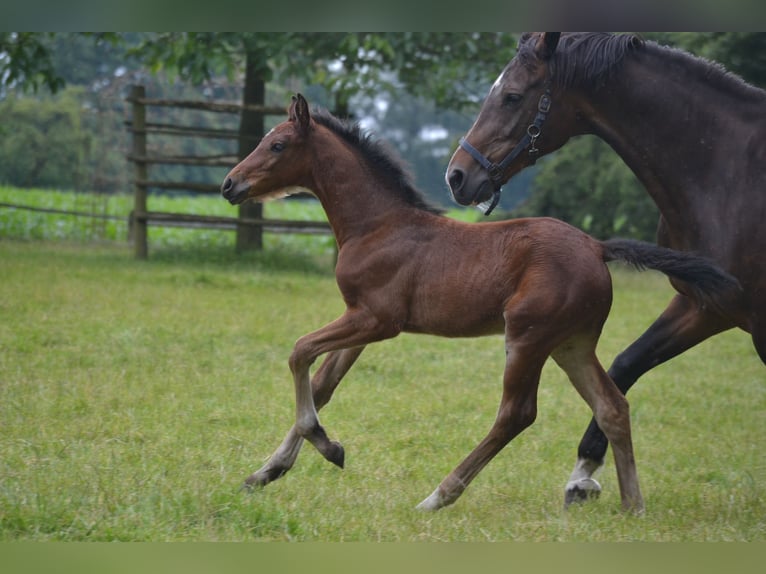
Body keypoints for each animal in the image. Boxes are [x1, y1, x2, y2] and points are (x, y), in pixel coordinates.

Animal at [222, 93, 744, 512]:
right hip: (571, 343)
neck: (377, 223)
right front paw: (268, 471)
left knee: (517, 413)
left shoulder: (376, 319)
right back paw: (632, 505)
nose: (229, 185)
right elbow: (323, 383)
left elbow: (299, 352)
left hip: (529, 336)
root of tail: (598, 246)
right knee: (612, 406)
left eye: (277, 145)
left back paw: (439, 495)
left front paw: (326, 447)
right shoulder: (361, 323)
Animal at [448, 32, 764, 508]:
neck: (727, 172)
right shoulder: (708, 304)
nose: (456, 176)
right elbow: (626, 363)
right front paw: (583, 476)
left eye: (512, 96)